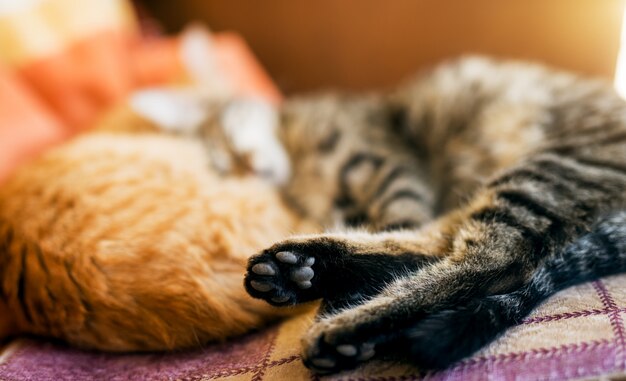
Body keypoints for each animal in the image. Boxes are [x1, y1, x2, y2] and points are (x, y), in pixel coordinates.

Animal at [241, 55, 626, 372]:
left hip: (545, 169)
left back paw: (346, 319)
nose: (249, 165)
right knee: (441, 243)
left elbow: (400, 216)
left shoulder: (392, 170)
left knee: (492, 263)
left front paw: (339, 307)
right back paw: (302, 272)